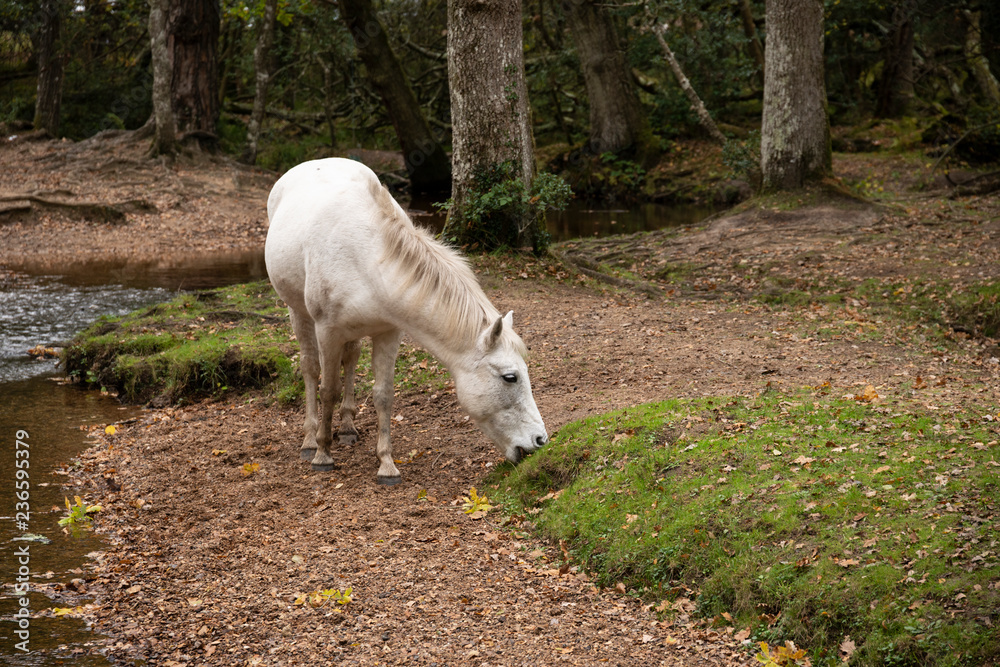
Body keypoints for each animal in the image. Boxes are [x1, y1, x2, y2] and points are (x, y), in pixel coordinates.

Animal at [264, 158, 548, 485]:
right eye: (510, 377)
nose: (540, 440)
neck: (367, 260)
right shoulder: (328, 332)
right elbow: (328, 390)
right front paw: (323, 455)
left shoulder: (388, 332)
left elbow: (383, 395)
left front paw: (386, 464)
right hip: (298, 312)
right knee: (310, 369)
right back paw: (310, 441)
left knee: (351, 359)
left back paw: (347, 428)